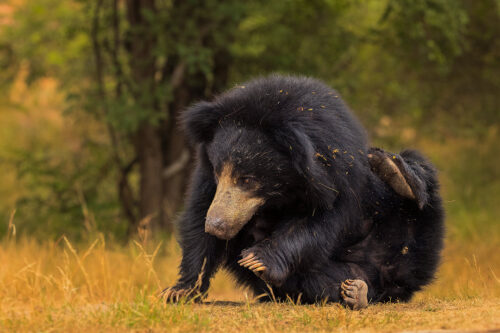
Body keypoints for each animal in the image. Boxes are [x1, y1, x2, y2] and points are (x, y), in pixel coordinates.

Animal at [162, 75, 444, 308]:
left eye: (247, 180)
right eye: (219, 172)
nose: (217, 226)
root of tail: (391, 279)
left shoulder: (335, 176)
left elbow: (319, 222)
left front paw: (256, 259)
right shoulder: (205, 177)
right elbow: (198, 217)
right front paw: (180, 291)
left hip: (413, 234)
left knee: (418, 176)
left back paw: (394, 172)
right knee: (320, 282)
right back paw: (355, 291)